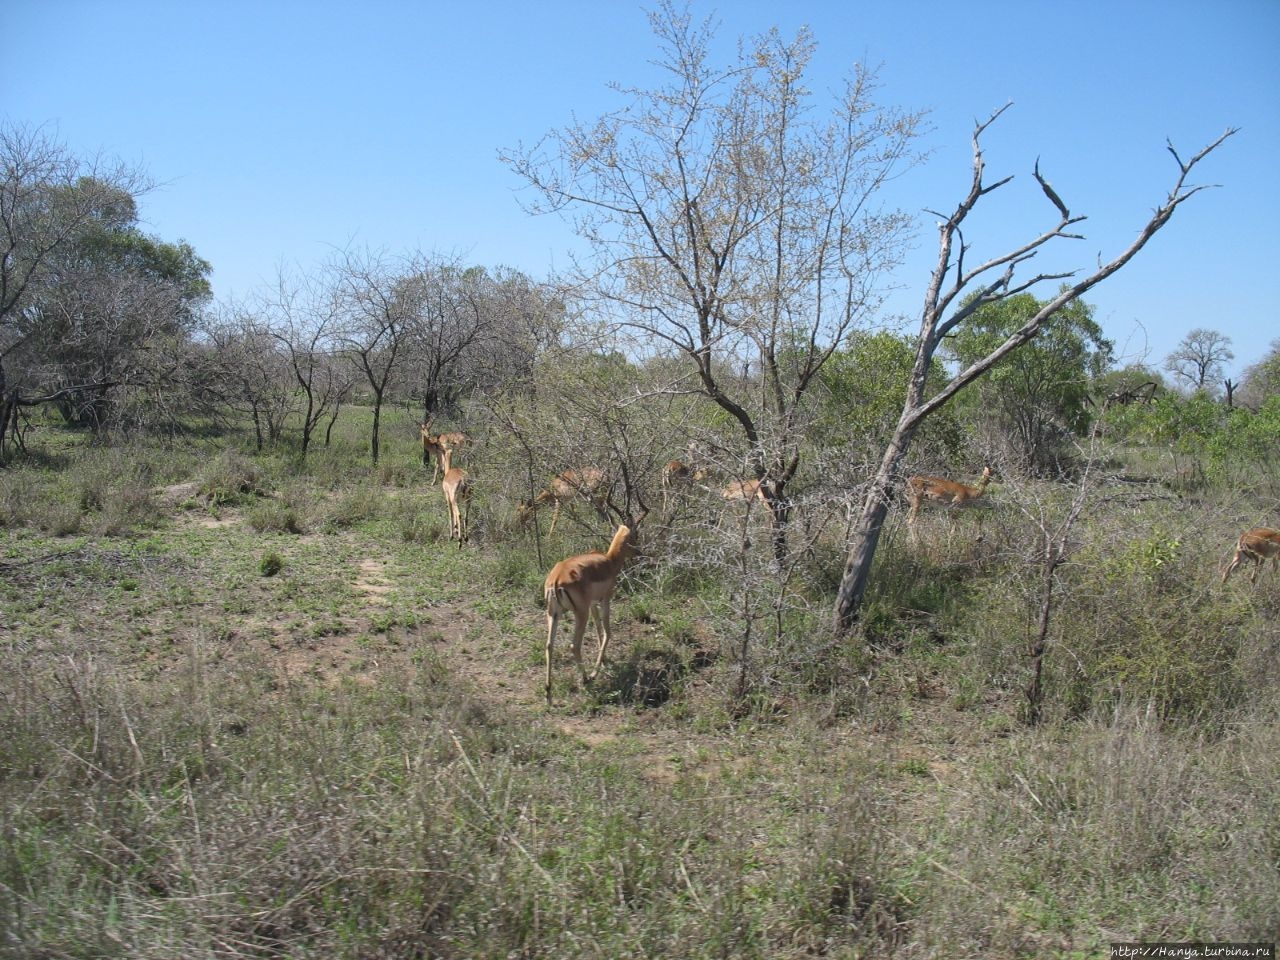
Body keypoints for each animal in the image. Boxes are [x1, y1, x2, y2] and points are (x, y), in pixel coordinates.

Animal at [542, 527, 637, 706]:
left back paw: (548, 694)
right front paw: (596, 671)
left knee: (549, 645)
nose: (638, 552)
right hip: (580, 613)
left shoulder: (593, 604)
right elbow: (607, 632)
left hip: (554, 614)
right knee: (574, 645)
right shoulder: (605, 599)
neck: (609, 561)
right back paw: (586, 678)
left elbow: (599, 629)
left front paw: (605, 660)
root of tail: (556, 580)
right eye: (632, 540)